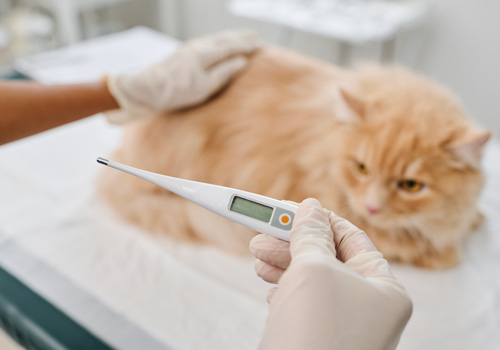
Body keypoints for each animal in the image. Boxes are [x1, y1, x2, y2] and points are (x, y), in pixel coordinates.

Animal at [97, 47, 488, 270]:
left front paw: (471, 220)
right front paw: (441, 250)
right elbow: (414, 246)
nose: (372, 207)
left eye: (411, 185)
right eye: (361, 167)